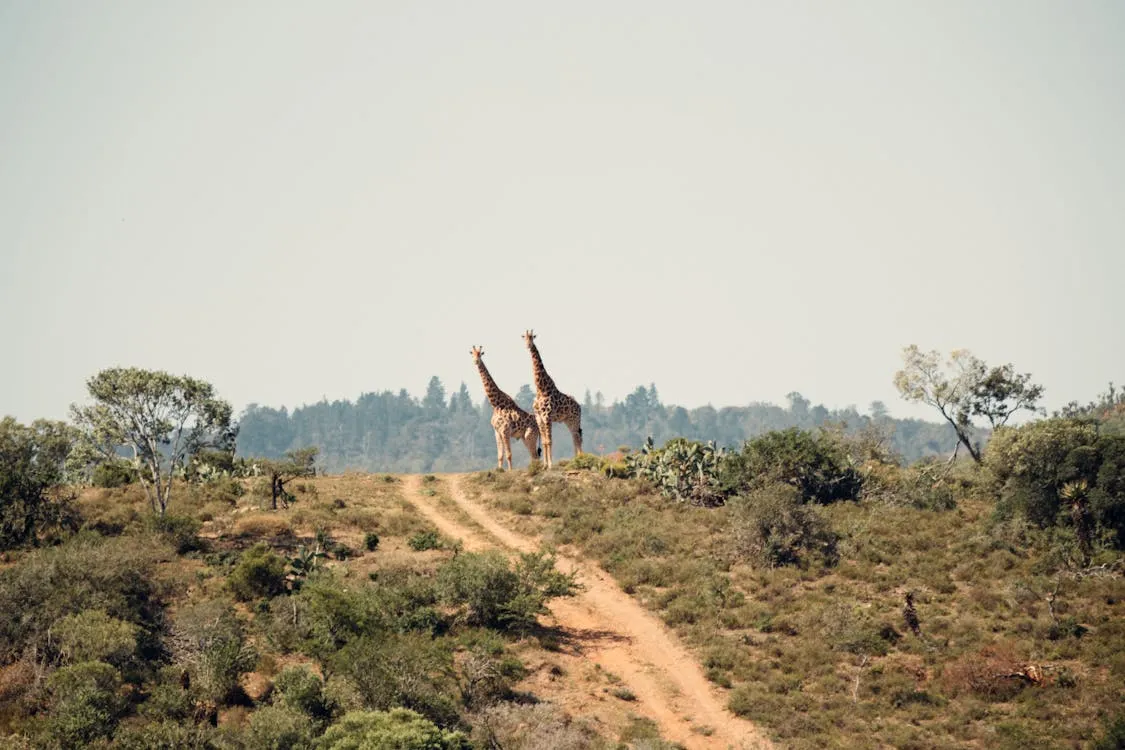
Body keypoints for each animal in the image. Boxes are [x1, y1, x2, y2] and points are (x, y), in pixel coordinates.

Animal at [522, 330, 585, 470]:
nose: (528, 345)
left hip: (575, 419)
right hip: (568, 421)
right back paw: (576, 460)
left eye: (532, 338)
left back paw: (580, 460)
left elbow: (550, 441)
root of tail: (579, 406)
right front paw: (545, 465)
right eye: (524, 338)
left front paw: (550, 465)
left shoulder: (547, 417)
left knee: (577, 437)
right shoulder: (539, 418)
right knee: (575, 438)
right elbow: (545, 442)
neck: (541, 389)